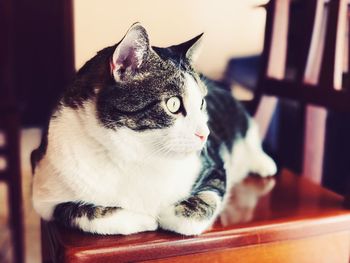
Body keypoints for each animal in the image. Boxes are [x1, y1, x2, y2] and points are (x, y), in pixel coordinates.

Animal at [30, 23, 276, 237]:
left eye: (202, 103)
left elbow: (201, 204)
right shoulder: (45, 190)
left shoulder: (214, 163)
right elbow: (80, 212)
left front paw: (167, 214)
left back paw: (264, 163)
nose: (204, 134)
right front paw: (143, 219)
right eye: (173, 104)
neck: (137, 156)